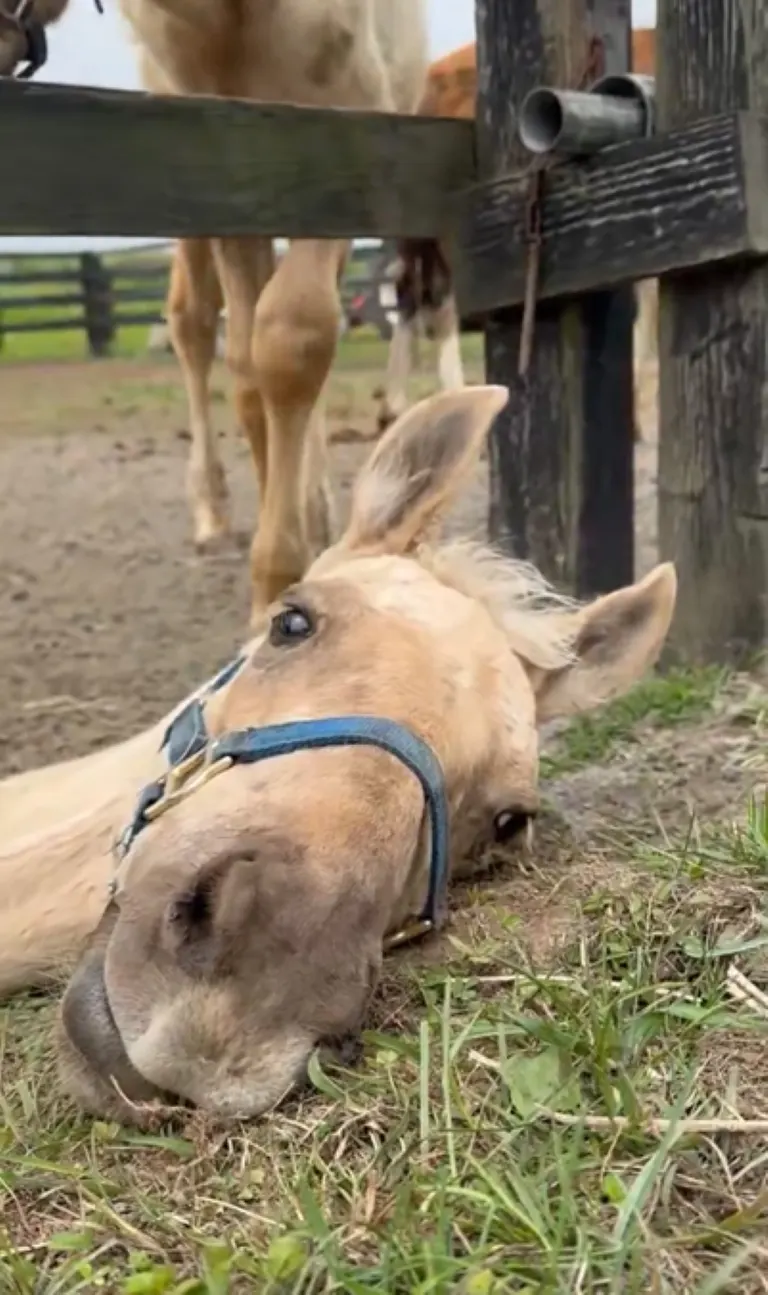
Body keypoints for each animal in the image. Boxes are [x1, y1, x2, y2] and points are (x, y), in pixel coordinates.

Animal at [0, 0, 430, 622]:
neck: (236, 14)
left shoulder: (342, 145)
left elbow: (294, 343)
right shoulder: (231, 168)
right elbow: (251, 374)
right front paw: (278, 577)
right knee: (194, 322)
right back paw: (216, 515)